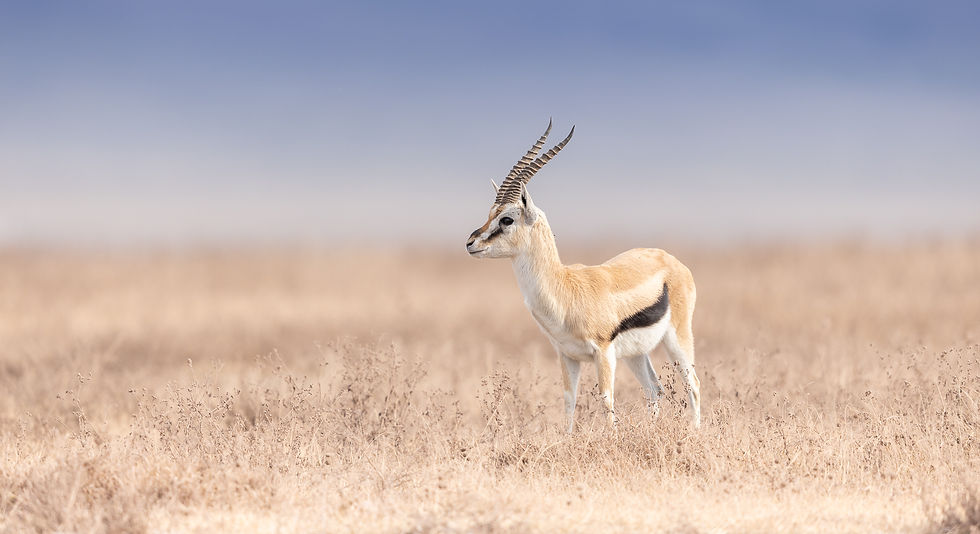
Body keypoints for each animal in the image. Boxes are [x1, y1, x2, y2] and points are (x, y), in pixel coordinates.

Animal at [465, 121, 701, 430]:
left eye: (507, 219)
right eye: (490, 213)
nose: (471, 243)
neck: (564, 288)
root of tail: (671, 259)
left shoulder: (603, 353)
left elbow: (606, 400)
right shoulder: (567, 355)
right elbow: (569, 401)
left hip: (677, 338)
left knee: (693, 384)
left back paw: (695, 431)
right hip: (636, 354)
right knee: (654, 388)